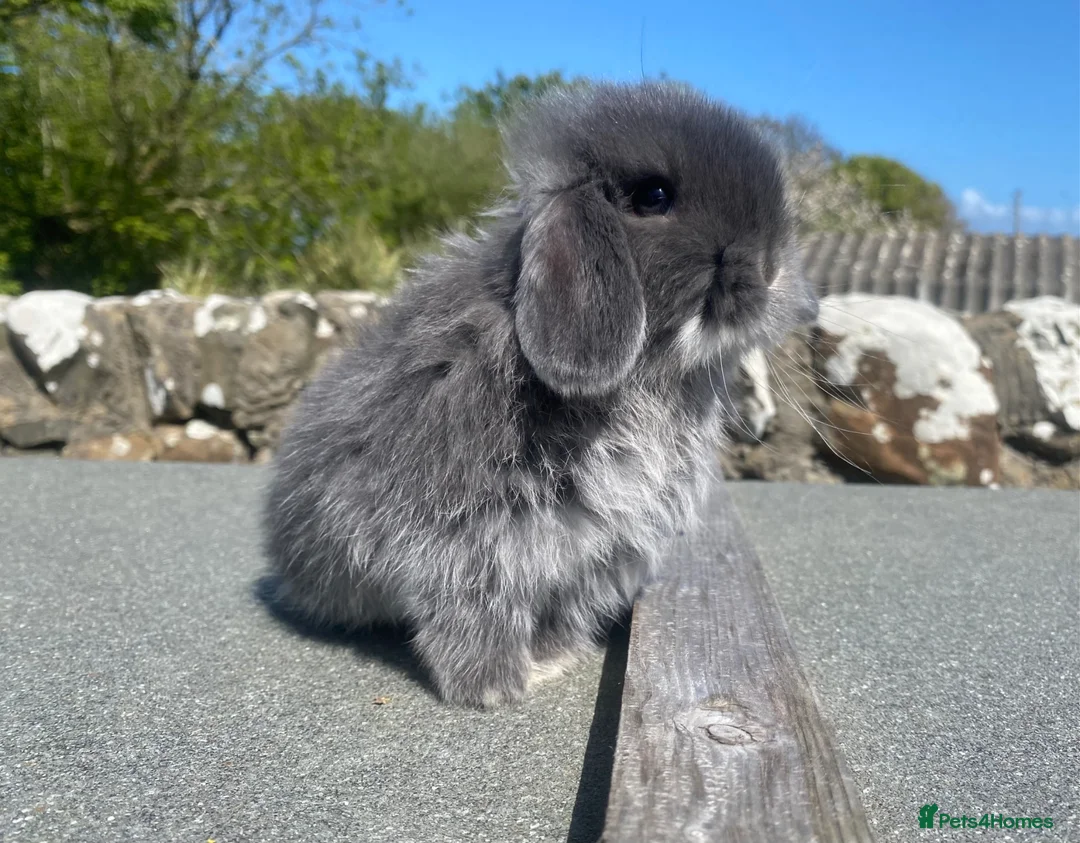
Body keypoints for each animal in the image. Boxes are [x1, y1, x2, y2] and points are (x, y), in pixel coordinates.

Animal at [263, 80, 818, 708]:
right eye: (653, 196)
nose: (772, 270)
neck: (650, 379)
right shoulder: (462, 545)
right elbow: (472, 617)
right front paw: (493, 689)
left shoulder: (598, 554)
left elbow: (563, 609)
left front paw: (554, 658)